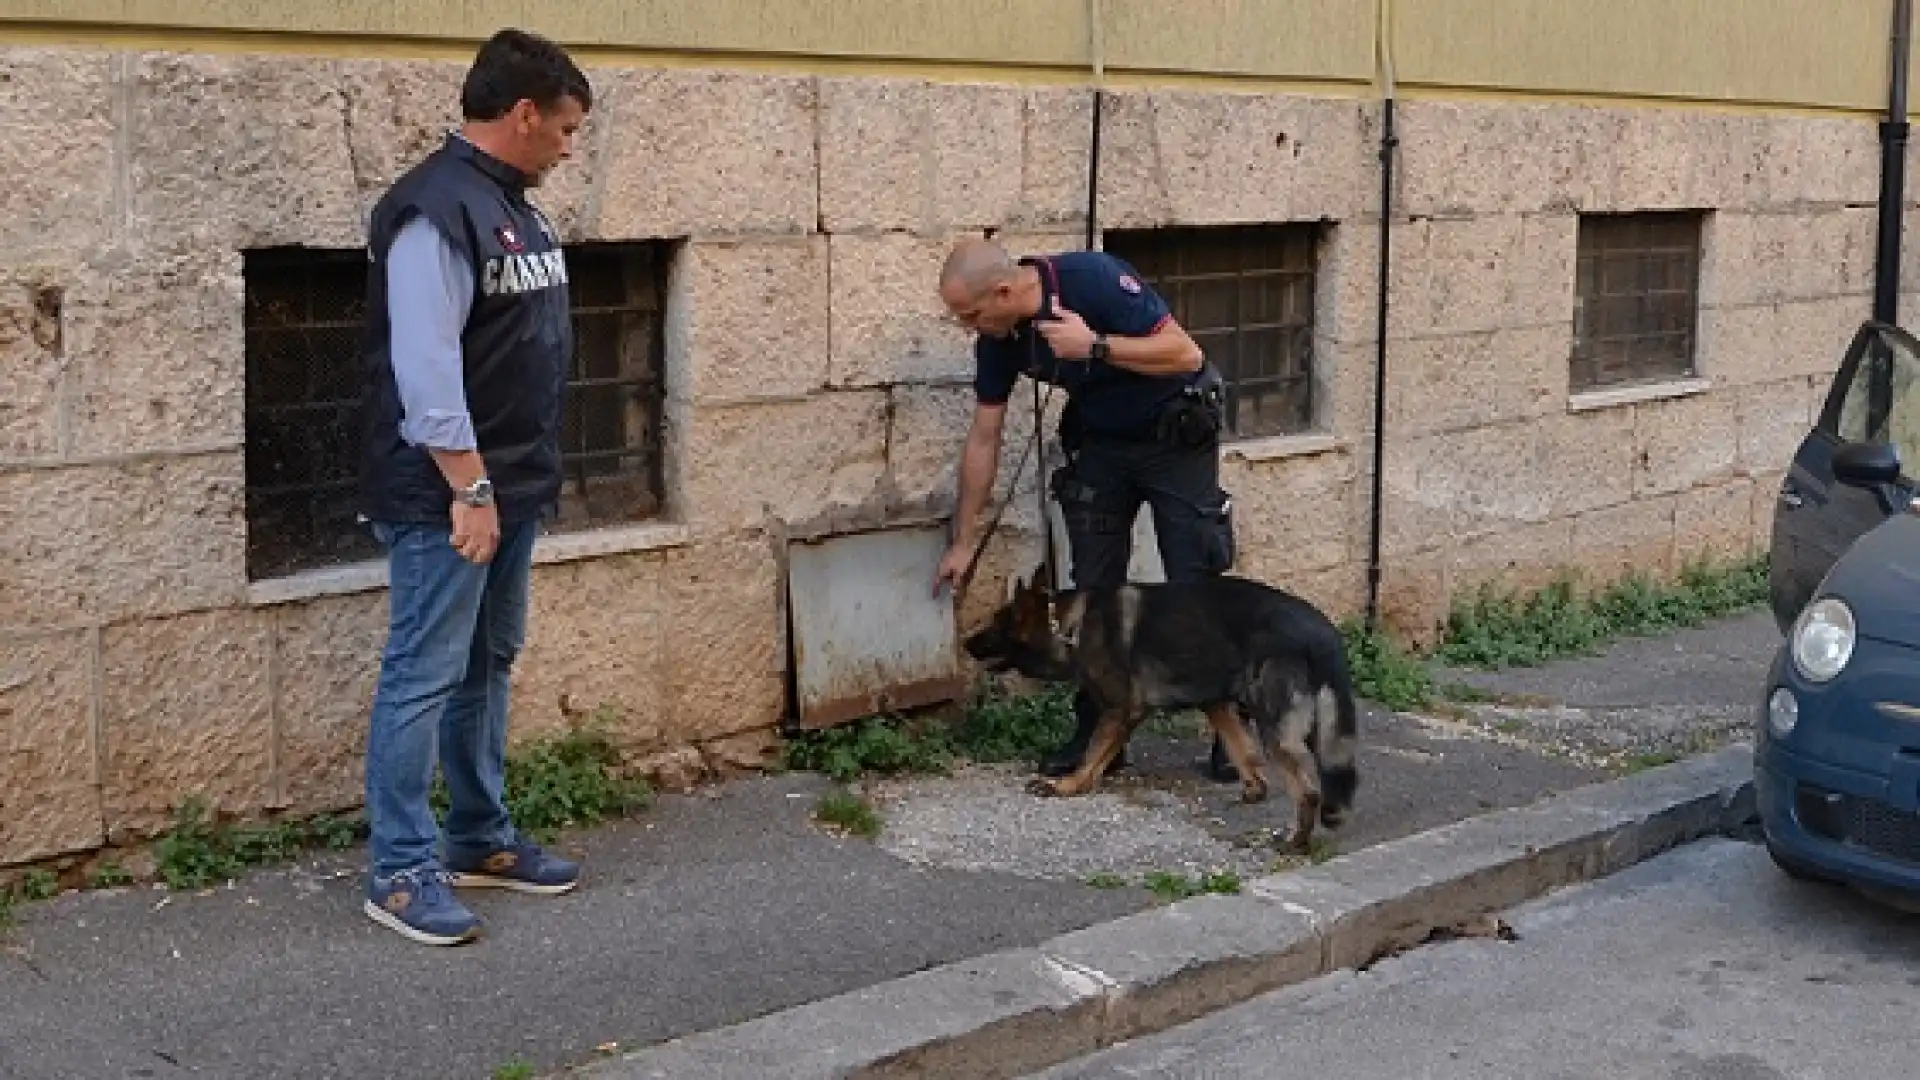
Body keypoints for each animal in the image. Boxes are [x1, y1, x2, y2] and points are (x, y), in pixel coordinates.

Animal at [967, 568, 1359, 853]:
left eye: (993, 623)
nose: (966, 642)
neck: (1068, 626)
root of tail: (1323, 633)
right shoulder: (1214, 701)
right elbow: (1240, 746)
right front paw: (1253, 788)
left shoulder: (1122, 709)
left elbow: (1094, 754)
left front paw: (1067, 785)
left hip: (1276, 726)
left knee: (1308, 790)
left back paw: (1296, 841)